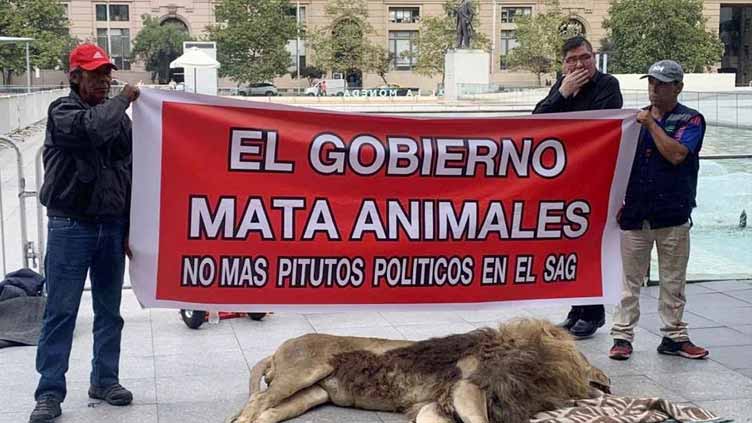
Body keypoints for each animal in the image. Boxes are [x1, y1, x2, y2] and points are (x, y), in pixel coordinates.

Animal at [229, 318, 612, 423]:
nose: (606, 384)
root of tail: (279, 348)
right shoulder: (466, 388)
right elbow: (483, 420)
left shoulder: (437, 405)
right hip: (301, 374)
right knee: (256, 404)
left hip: (311, 395)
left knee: (268, 413)